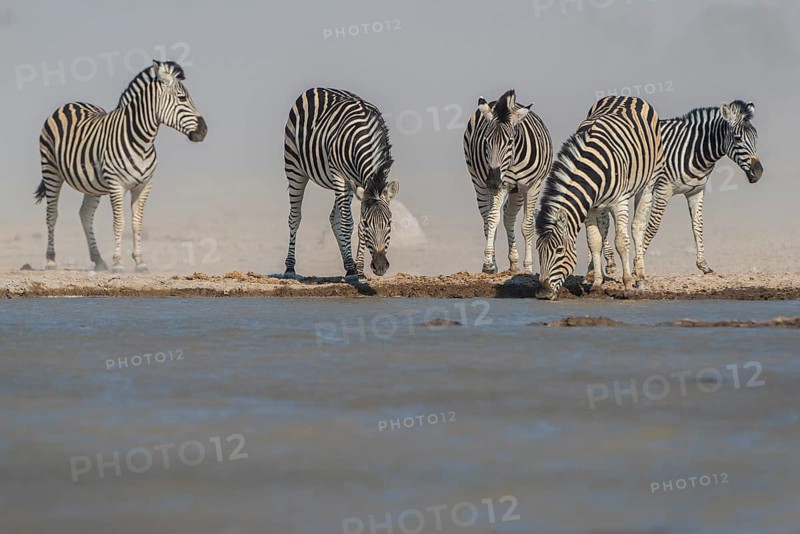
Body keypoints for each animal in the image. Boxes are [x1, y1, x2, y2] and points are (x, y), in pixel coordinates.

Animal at [34, 60, 207, 273]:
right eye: (182, 98)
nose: (204, 131)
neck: (142, 141)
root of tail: (70, 103)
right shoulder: (117, 185)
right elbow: (119, 223)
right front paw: (118, 263)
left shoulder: (144, 185)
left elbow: (137, 223)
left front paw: (140, 262)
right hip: (50, 170)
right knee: (52, 214)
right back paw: (51, 260)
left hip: (91, 184)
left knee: (85, 214)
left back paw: (99, 260)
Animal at [283, 88, 399, 281]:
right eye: (368, 224)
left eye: (389, 223)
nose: (380, 267)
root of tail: (316, 88)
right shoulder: (340, 176)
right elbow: (348, 224)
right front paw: (353, 272)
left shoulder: (363, 184)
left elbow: (354, 226)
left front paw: (358, 270)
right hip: (295, 168)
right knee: (295, 217)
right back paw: (290, 268)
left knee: (334, 218)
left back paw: (348, 264)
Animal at [463, 90, 553, 274]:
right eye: (486, 141)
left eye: (510, 141)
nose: (492, 181)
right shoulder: (502, 185)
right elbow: (492, 219)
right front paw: (488, 263)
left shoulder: (532, 186)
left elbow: (527, 225)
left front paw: (528, 268)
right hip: (478, 181)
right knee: (488, 217)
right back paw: (496, 262)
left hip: (517, 191)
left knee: (509, 216)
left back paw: (515, 262)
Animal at [535, 96, 663, 300]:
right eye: (539, 250)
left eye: (559, 250)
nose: (542, 294)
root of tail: (626, 96)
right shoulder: (589, 206)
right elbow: (594, 241)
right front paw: (596, 283)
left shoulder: (619, 202)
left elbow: (621, 242)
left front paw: (628, 285)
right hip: (602, 205)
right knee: (605, 229)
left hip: (649, 182)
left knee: (637, 226)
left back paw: (641, 278)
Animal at [590, 100, 763, 276]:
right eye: (737, 139)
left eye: (756, 137)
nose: (758, 173)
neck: (695, 150)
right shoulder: (663, 189)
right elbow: (653, 226)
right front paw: (637, 264)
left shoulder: (696, 191)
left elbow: (698, 225)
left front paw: (703, 265)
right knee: (603, 221)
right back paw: (607, 263)